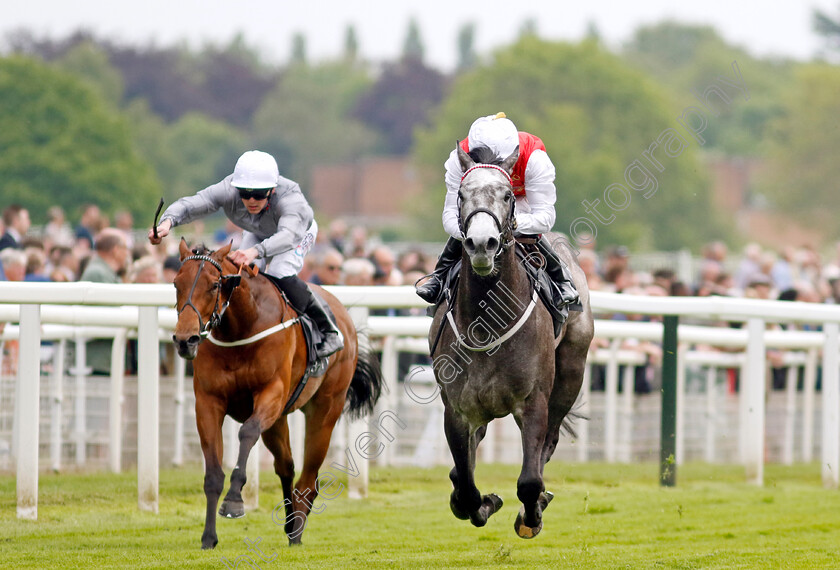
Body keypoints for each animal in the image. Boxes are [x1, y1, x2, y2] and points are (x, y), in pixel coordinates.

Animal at [172, 237, 382, 548]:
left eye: (214, 284)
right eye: (176, 283)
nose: (185, 340)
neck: (242, 327)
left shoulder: (271, 393)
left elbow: (247, 432)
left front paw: (234, 501)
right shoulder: (208, 403)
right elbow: (213, 474)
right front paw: (209, 537)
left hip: (325, 409)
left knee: (308, 478)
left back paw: (297, 533)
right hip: (278, 421)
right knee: (287, 467)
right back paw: (290, 523)